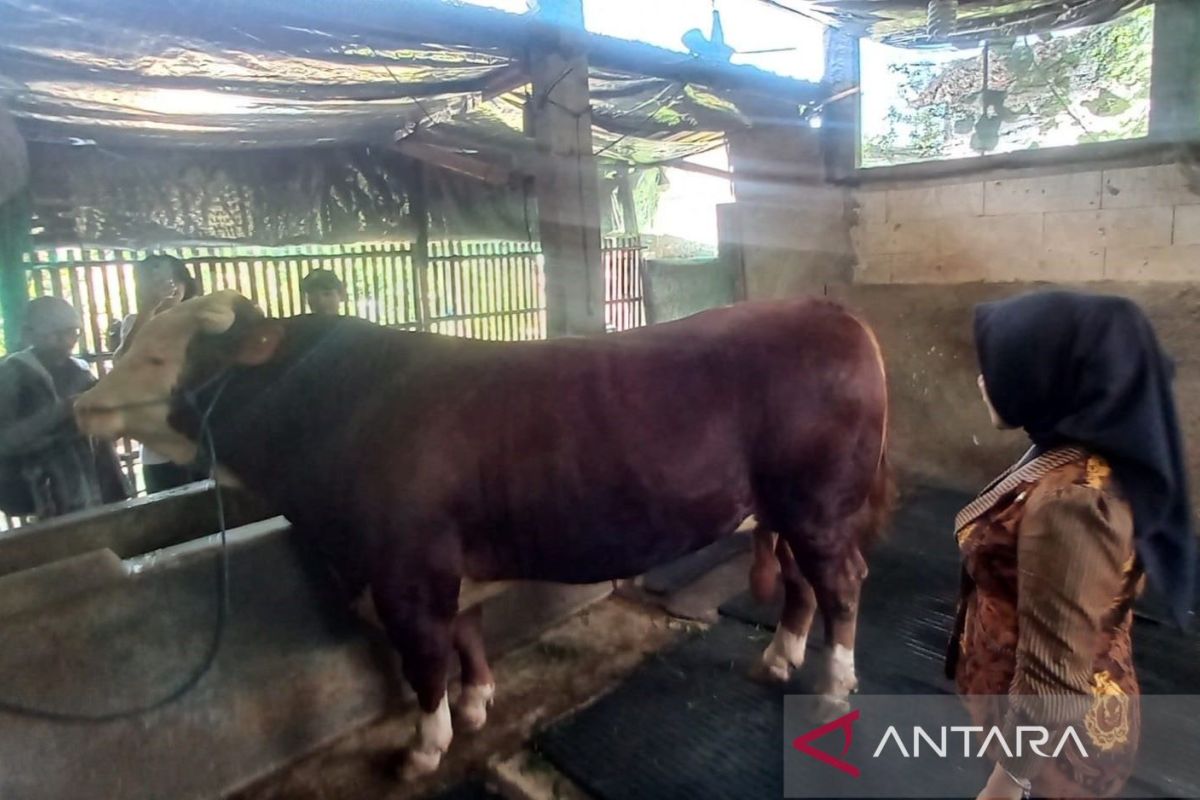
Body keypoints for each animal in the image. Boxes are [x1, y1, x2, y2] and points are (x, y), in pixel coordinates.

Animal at [74, 290, 891, 779]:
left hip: (818, 505)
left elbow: (423, 657)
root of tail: (828, 311)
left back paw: (833, 686)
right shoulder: (445, 563)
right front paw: (475, 707)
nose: (85, 404)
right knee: (802, 584)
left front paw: (424, 747)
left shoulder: (406, 569)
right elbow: (465, 636)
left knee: (843, 583)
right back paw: (778, 660)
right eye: (131, 339)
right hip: (789, 511)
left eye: (160, 355)